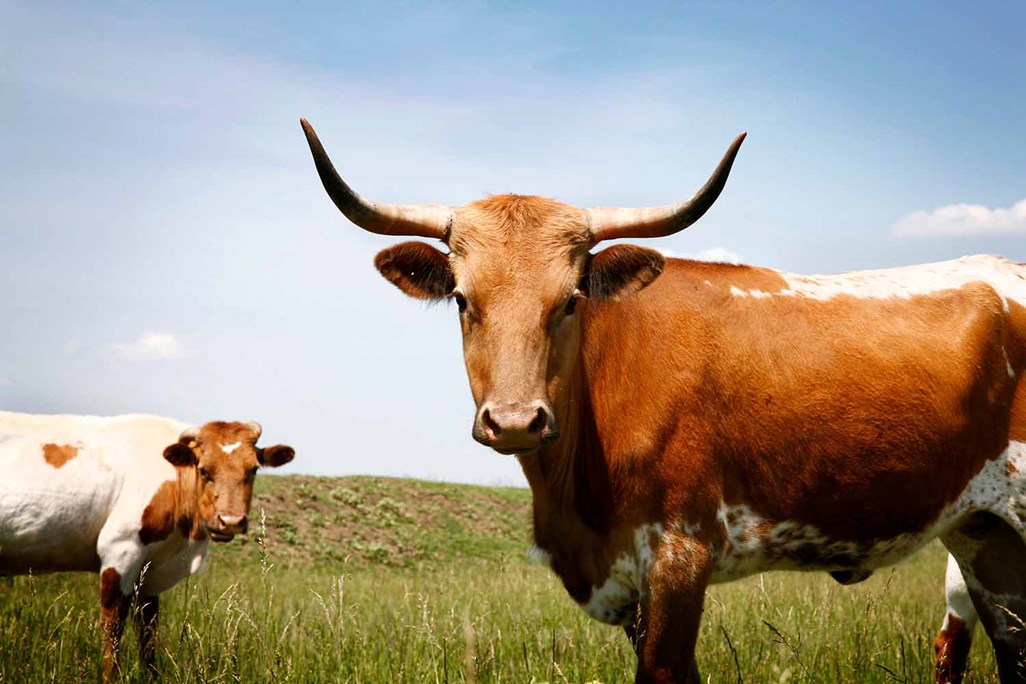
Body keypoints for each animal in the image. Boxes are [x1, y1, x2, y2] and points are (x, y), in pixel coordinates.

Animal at [0, 410, 295, 680]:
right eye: (204, 470)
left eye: (253, 469)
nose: (231, 520)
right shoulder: (120, 550)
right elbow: (113, 627)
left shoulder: (150, 571)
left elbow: (148, 632)